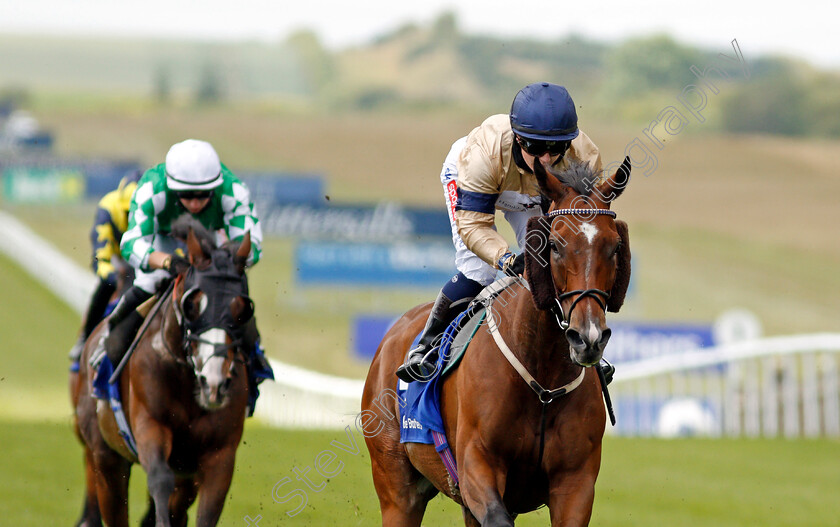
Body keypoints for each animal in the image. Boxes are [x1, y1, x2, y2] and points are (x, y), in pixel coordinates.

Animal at [71, 217, 256, 524]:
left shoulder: (219, 455)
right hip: (105, 454)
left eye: (242, 308)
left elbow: (206, 510)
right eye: (192, 304)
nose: (214, 383)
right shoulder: (150, 425)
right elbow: (159, 479)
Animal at [360, 158, 632, 527]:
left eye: (614, 246)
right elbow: (496, 515)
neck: (543, 376)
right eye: (555, 244)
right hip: (396, 489)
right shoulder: (477, 466)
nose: (587, 336)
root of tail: (393, 333)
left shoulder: (575, 483)